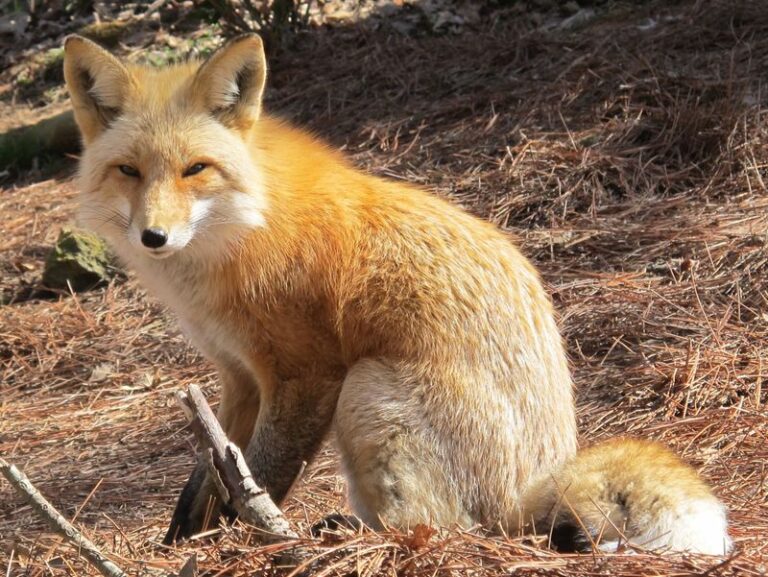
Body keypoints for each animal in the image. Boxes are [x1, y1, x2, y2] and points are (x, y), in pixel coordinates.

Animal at [62, 33, 732, 555]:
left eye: (195, 169)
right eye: (129, 171)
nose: (154, 236)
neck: (246, 230)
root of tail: (526, 495)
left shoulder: (308, 374)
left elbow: (261, 476)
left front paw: (237, 540)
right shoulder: (237, 375)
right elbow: (213, 467)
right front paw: (183, 538)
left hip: (367, 390)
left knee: (449, 527)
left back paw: (355, 536)